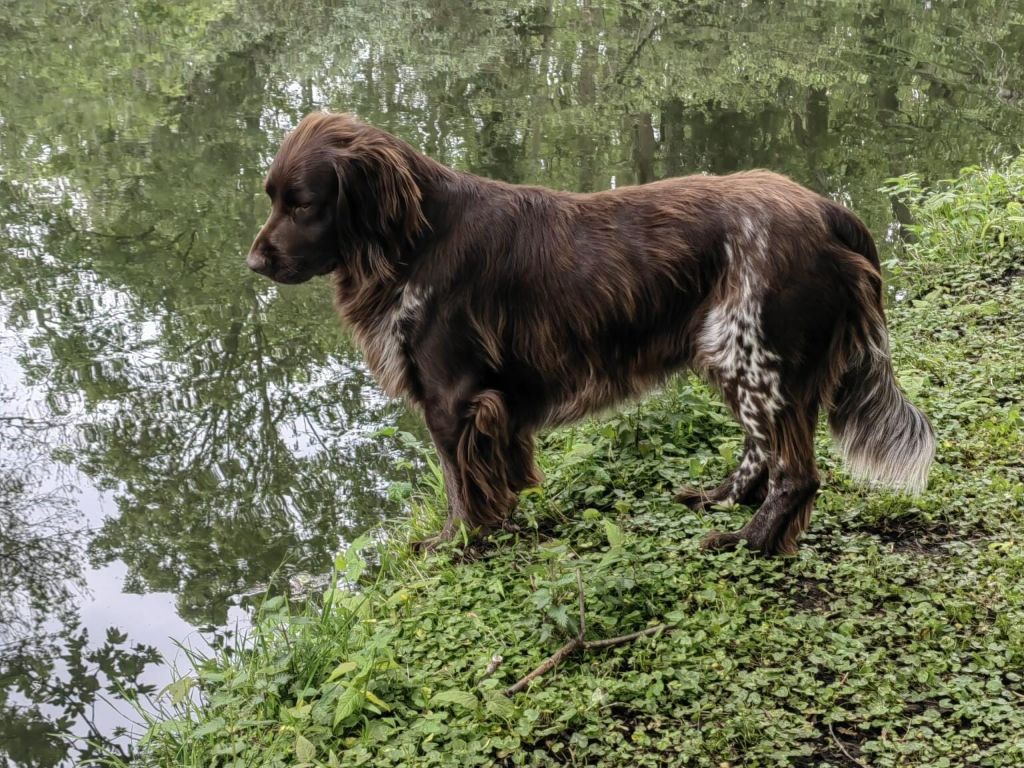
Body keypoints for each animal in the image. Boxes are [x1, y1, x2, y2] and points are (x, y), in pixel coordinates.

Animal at [247, 111, 937, 557]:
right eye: (273, 198)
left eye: (303, 204)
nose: (253, 262)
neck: (416, 240)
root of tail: (827, 209)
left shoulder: (453, 398)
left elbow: (459, 487)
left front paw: (455, 543)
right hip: (737, 359)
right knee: (760, 451)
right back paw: (721, 501)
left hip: (756, 359)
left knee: (796, 472)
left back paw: (749, 543)